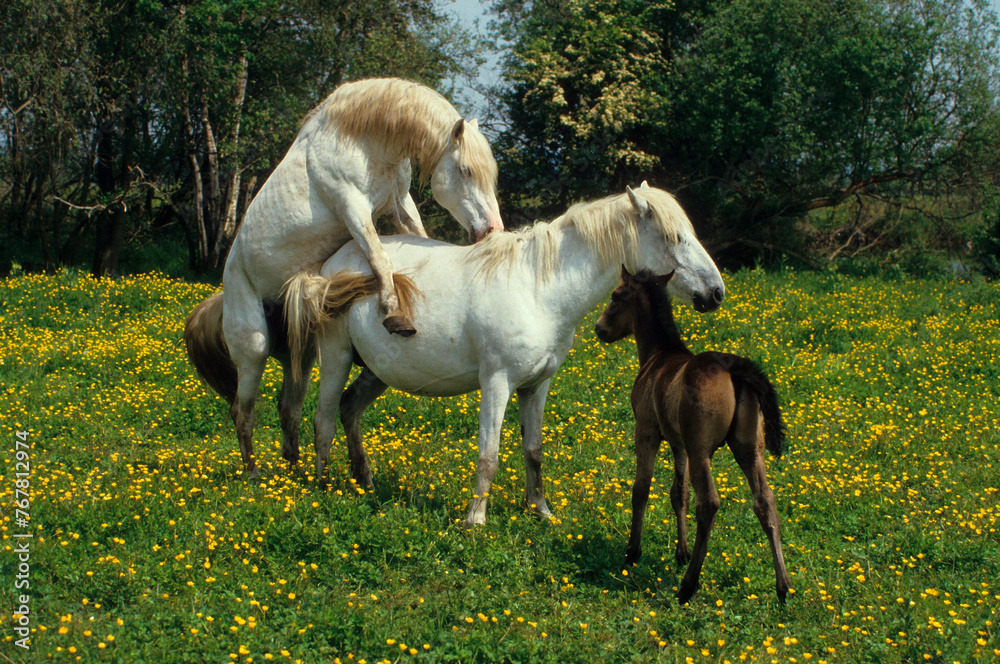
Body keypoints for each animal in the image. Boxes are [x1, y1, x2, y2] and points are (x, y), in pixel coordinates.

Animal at [192, 78, 503, 479]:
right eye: (465, 170)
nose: (492, 229)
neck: (361, 137)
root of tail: (224, 291)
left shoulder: (399, 203)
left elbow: (416, 236)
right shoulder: (353, 209)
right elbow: (379, 256)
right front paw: (394, 315)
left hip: (303, 354)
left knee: (288, 408)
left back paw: (293, 471)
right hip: (254, 348)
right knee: (242, 412)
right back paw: (255, 476)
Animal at [282, 183, 726, 527]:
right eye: (675, 238)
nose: (716, 293)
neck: (538, 288)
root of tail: (332, 264)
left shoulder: (536, 386)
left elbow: (534, 451)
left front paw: (540, 510)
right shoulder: (497, 384)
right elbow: (489, 456)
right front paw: (475, 519)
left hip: (377, 371)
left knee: (349, 409)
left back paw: (365, 482)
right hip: (336, 355)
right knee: (323, 420)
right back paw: (324, 487)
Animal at [594, 267, 790, 604]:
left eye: (616, 297)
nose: (599, 328)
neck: (658, 356)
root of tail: (733, 368)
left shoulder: (647, 431)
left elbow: (641, 489)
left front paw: (633, 551)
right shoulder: (679, 444)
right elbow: (679, 493)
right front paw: (681, 551)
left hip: (702, 450)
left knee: (709, 503)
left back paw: (688, 586)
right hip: (750, 448)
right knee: (765, 500)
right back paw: (783, 587)